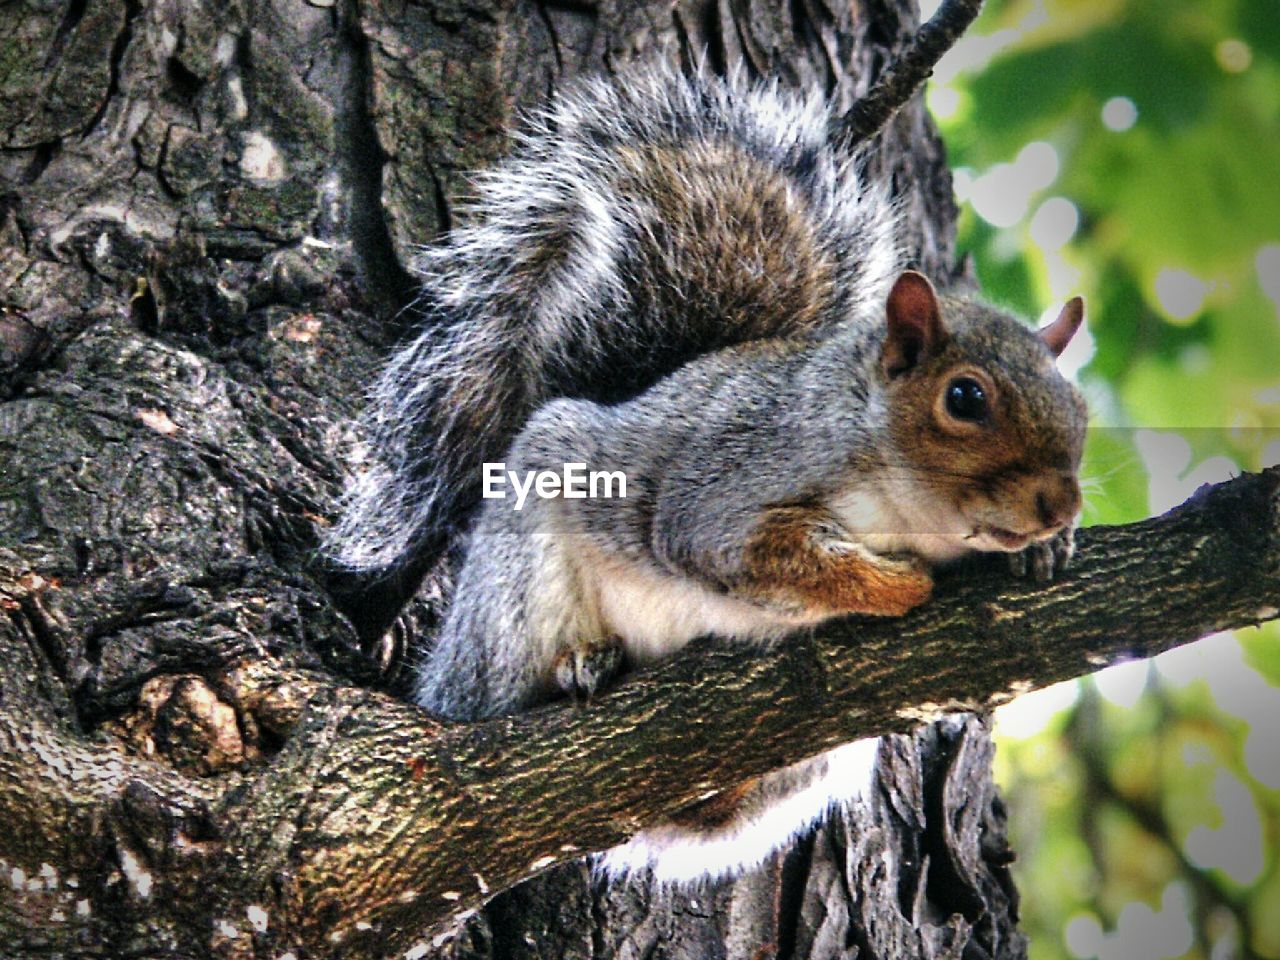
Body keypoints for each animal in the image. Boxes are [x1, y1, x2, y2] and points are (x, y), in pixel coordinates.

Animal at [325, 65, 1085, 880]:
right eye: (965, 398)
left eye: (1078, 405)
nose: (1059, 507)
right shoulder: (734, 482)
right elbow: (750, 552)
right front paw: (897, 585)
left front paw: (1046, 552)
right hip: (512, 594)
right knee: (492, 693)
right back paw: (575, 668)